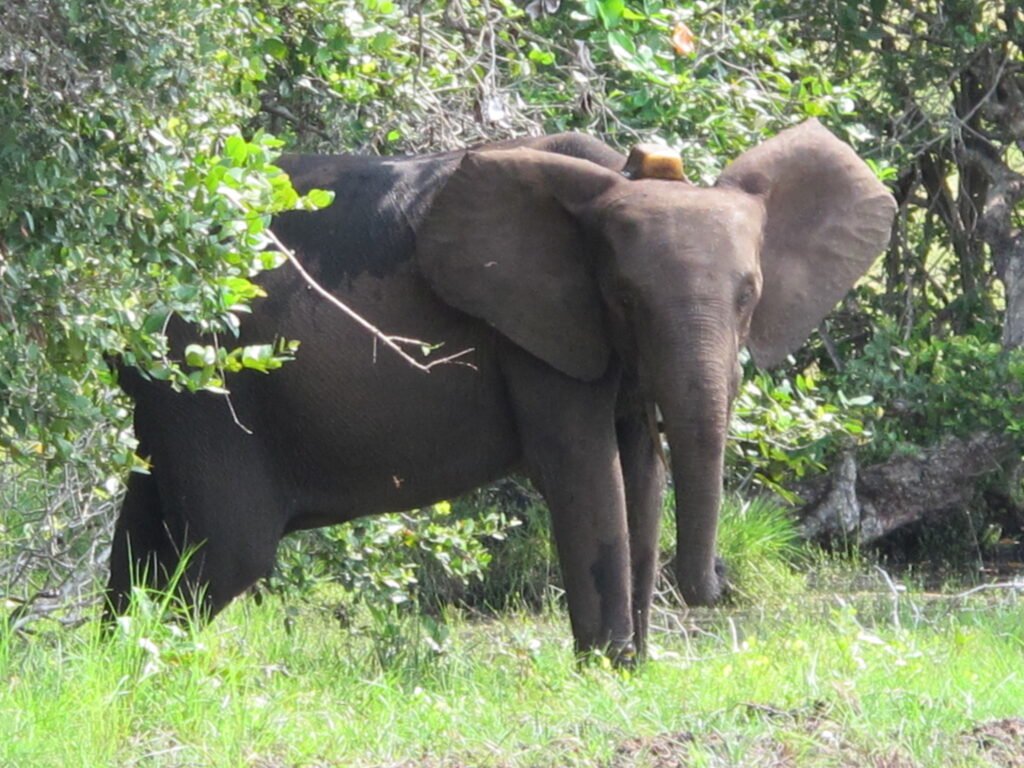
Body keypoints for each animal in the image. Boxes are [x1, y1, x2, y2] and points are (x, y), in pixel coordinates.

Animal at [108, 118, 897, 663]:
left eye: (749, 297)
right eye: (625, 299)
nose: (718, 586)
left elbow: (641, 475)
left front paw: (635, 668)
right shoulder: (535, 338)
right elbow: (585, 471)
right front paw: (607, 669)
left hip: (166, 393)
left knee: (146, 524)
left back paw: (107, 656)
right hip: (203, 382)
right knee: (226, 552)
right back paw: (157, 666)